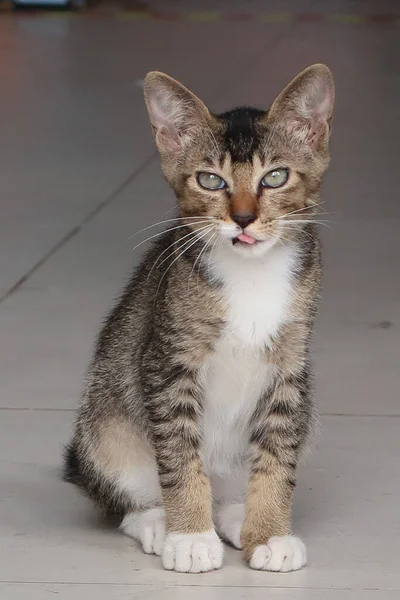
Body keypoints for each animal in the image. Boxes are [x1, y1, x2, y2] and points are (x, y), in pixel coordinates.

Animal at [65, 63, 334, 576]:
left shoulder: (291, 365)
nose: (244, 219)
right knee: (124, 492)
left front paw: (269, 533)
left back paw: (236, 517)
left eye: (276, 176)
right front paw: (189, 536)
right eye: (211, 181)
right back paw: (158, 521)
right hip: (104, 420)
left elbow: (278, 455)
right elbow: (179, 453)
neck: (252, 275)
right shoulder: (167, 363)